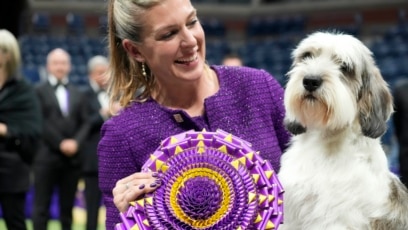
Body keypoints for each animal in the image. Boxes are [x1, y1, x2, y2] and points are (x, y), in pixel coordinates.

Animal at [278, 31, 408, 230]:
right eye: (307, 56)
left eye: (345, 67)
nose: (310, 81)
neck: (323, 141)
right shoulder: (291, 215)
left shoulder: (335, 220)